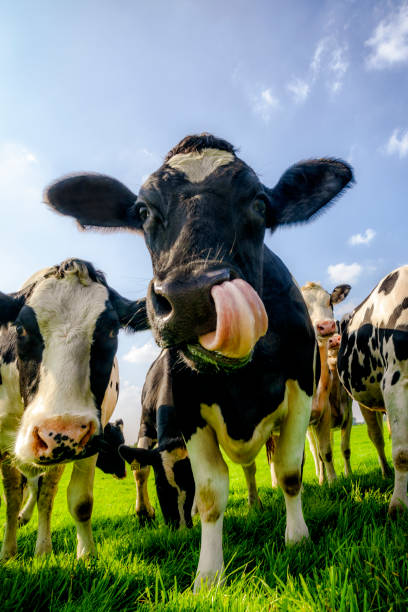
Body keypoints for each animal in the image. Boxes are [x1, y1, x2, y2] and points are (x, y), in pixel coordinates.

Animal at [0, 258, 147, 560]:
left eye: (112, 330)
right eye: (20, 329)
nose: (61, 433)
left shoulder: (89, 444)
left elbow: (77, 501)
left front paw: (83, 555)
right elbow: (11, 498)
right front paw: (7, 552)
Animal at [43, 133, 352, 588]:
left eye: (260, 202)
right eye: (143, 210)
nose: (191, 299)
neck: (241, 380)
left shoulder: (301, 393)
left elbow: (290, 472)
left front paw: (297, 537)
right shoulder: (188, 409)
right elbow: (209, 495)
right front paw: (208, 575)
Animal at [336, 268, 406, 516]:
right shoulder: (394, 380)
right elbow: (401, 453)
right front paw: (398, 507)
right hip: (364, 399)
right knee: (377, 437)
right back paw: (386, 472)